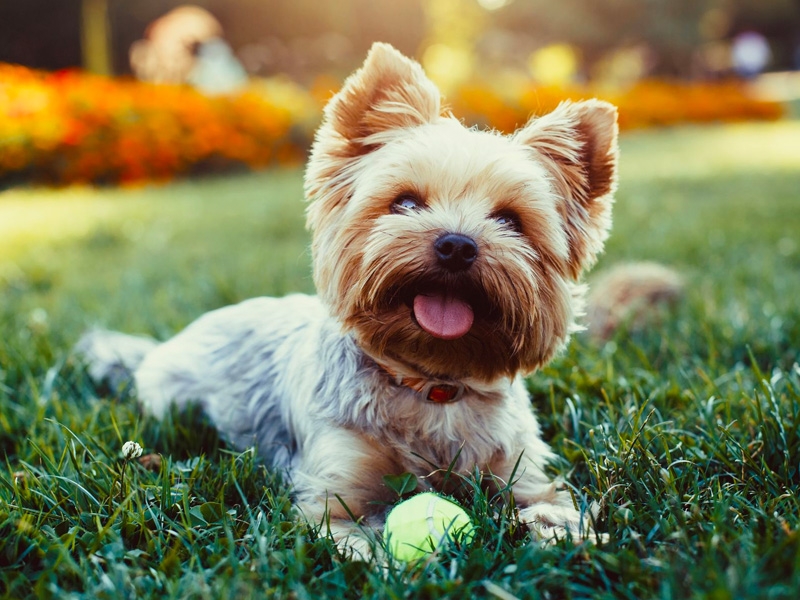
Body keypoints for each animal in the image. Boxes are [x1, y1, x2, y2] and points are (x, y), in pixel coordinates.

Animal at [78, 42, 620, 556]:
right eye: (405, 202)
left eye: (510, 220)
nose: (457, 244)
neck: (431, 385)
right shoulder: (335, 492)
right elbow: (358, 538)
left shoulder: (521, 471)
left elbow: (550, 506)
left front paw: (567, 537)